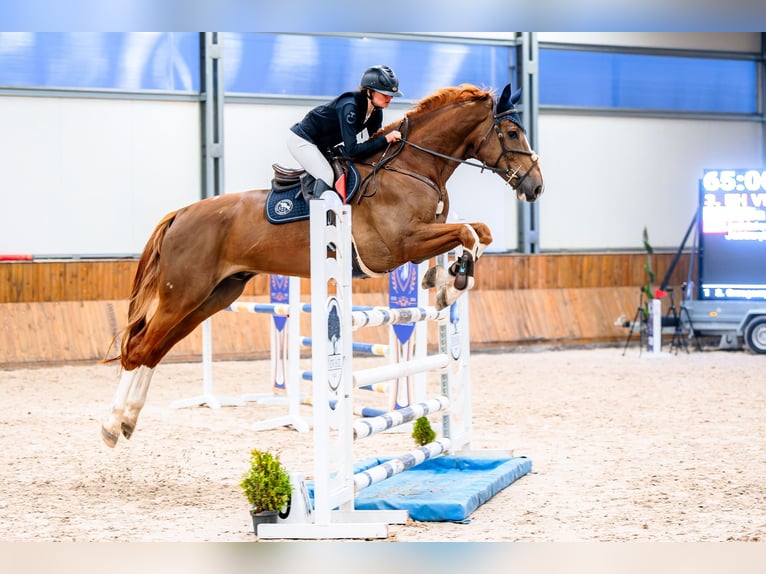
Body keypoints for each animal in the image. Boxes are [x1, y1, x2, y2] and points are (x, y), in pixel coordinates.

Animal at [101, 82, 544, 447]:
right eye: (511, 133)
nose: (536, 187)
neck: (413, 167)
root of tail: (181, 213)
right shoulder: (400, 246)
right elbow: (469, 233)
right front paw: (452, 283)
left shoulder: (419, 243)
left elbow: (479, 232)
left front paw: (446, 280)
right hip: (183, 294)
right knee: (139, 348)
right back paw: (111, 425)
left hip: (213, 296)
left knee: (155, 349)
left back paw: (128, 420)